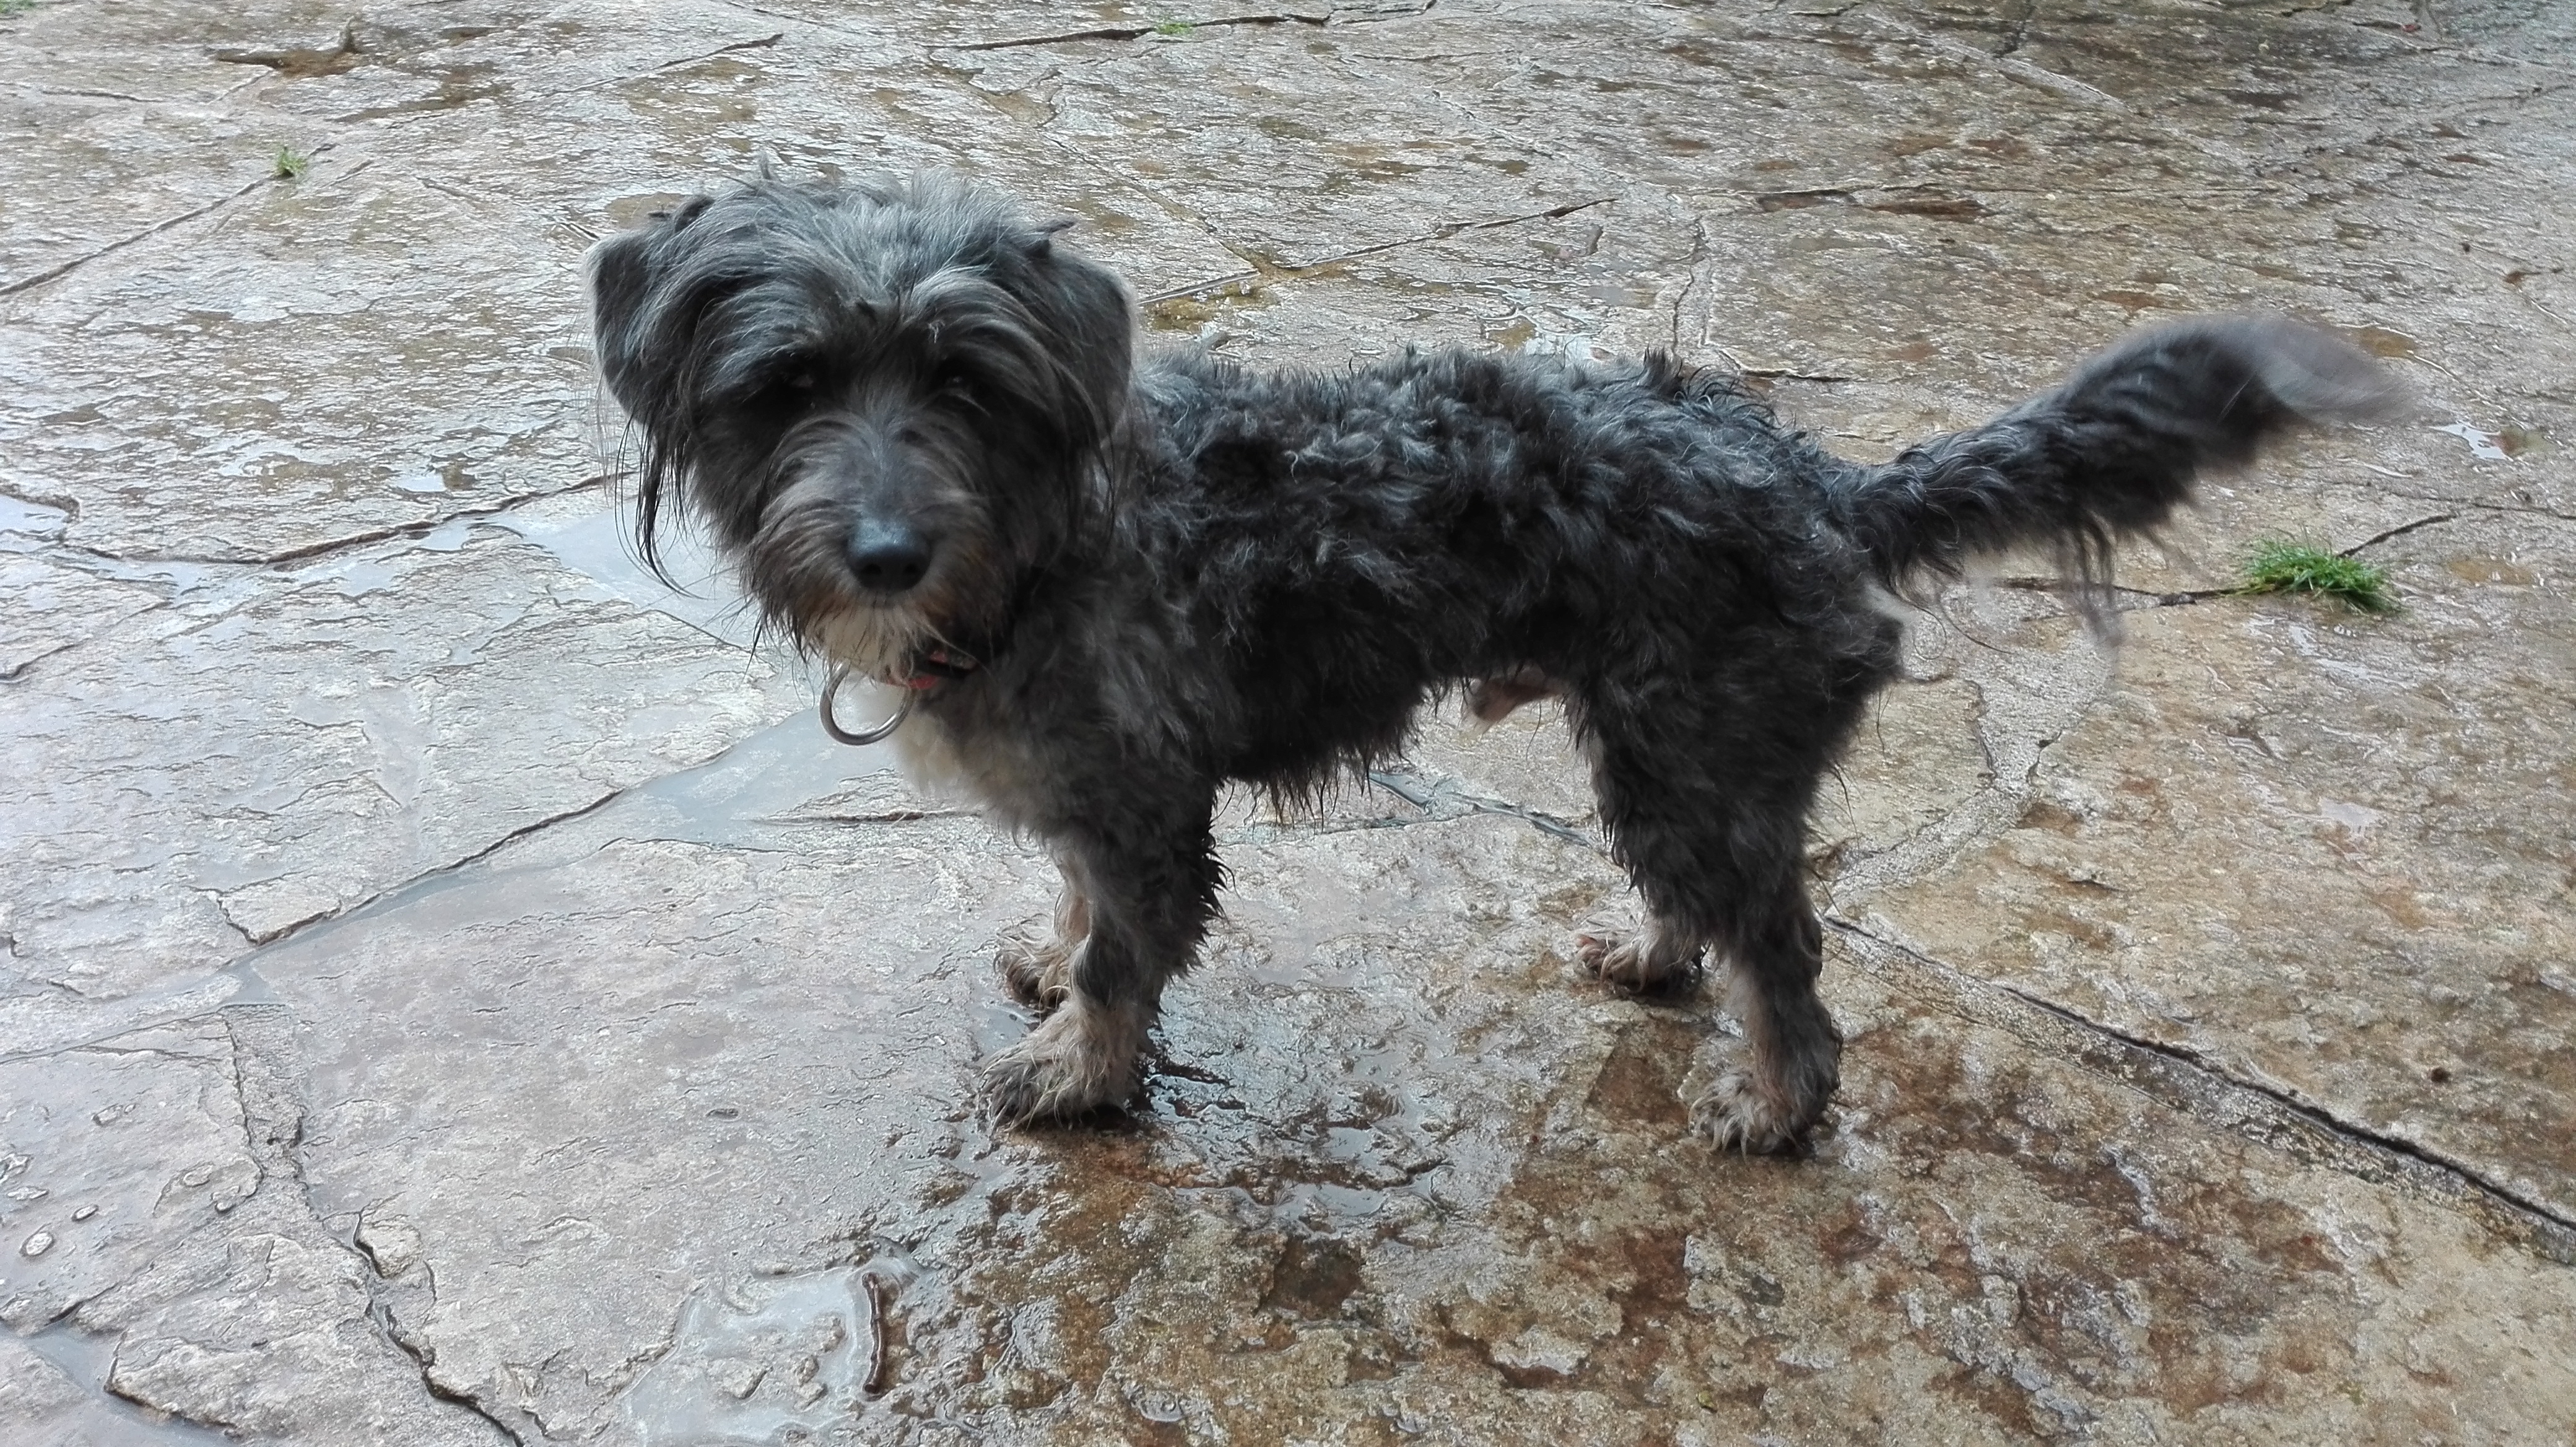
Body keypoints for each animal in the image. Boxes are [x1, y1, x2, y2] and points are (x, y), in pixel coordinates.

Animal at [588, 171, 2394, 1150]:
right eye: (789, 384)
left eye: (963, 382)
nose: (884, 551)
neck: (1040, 534)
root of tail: (1819, 481)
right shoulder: (1101, 797)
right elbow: (1083, 905)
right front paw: (1050, 949)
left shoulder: (1155, 806)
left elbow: (1127, 960)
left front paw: (1077, 1066)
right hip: (1666, 752)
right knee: (1724, 908)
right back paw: (1659, 956)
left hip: (1689, 754)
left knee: (1788, 957)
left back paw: (1774, 1103)